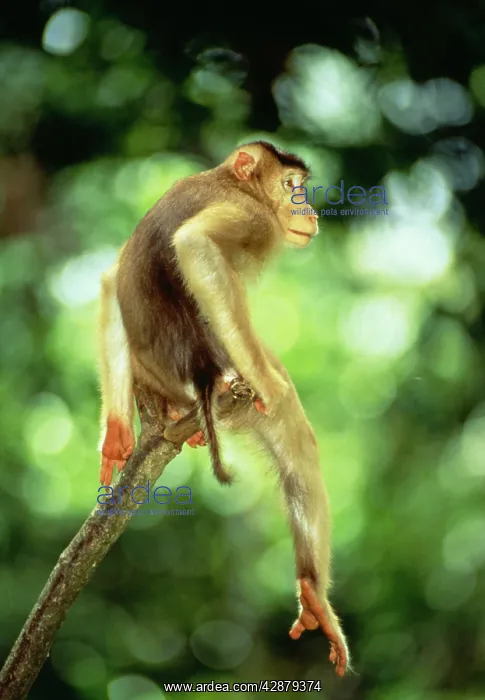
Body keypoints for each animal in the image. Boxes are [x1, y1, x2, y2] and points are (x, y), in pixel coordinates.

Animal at [96, 141, 349, 676]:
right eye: (292, 188)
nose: (310, 211)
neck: (231, 183)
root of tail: (199, 380)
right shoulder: (252, 218)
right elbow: (195, 244)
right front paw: (269, 381)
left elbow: (109, 277)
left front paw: (115, 433)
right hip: (227, 377)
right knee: (289, 420)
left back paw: (311, 593)